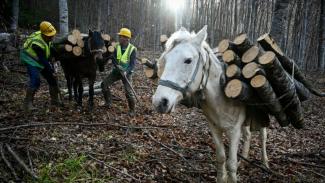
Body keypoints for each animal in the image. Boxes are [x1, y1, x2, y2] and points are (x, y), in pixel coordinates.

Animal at [152, 25, 268, 182]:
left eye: (188, 60)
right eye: (165, 59)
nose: (159, 102)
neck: (221, 97)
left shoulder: (234, 131)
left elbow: (231, 164)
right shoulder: (214, 128)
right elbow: (221, 158)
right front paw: (221, 178)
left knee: (262, 136)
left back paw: (265, 163)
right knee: (248, 135)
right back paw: (243, 160)